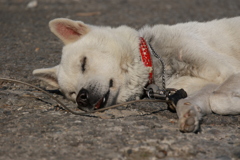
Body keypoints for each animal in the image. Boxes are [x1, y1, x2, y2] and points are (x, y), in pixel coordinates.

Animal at [33, 17, 240, 132]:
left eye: (83, 63)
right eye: (72, 93)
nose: (81, 98)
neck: (155, 60)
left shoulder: (231, 70)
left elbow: (218, 99)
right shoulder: (201, 85)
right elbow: (192, 100)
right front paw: (190, 115)